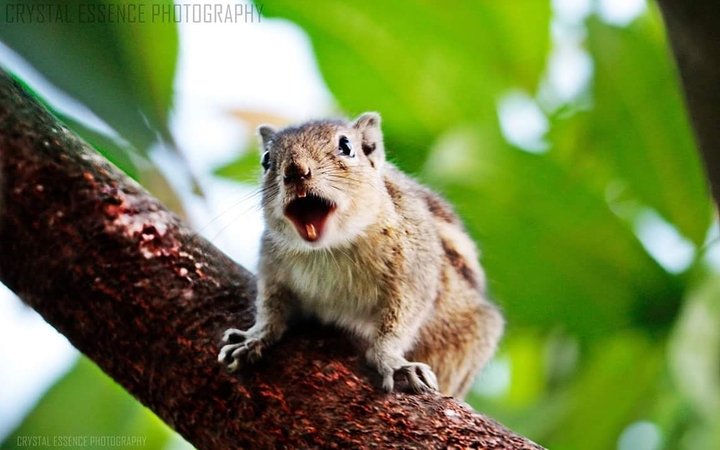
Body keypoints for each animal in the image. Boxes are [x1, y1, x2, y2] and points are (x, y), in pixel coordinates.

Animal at [218, 112, 503, 398]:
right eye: (266, 159)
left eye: (346, 146)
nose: (295, 170)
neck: (327, 250)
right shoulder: (272, 270)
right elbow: (271, 308)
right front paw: (255, 337)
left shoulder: (414, 274)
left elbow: (400, 322)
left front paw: (392, 360)